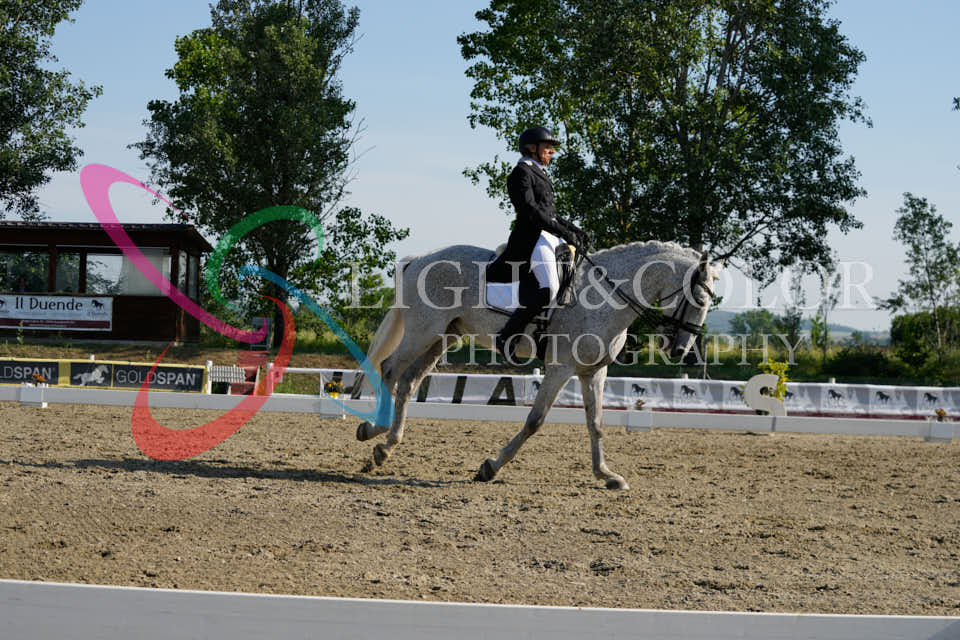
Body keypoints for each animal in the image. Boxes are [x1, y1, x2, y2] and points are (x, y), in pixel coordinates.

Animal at [355, 240, 720, 490]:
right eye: (699, 299)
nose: (679, 350)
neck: (606, 295)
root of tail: (420, 259)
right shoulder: (560, 368)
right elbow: (535, 420)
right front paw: (491, 467)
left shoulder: (593, 371)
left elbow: (596, 423)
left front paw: (606, 475)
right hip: (423, 331)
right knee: (389, 369)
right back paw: (374, 431)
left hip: (443, 336)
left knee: (409, 381)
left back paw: (385, 445)